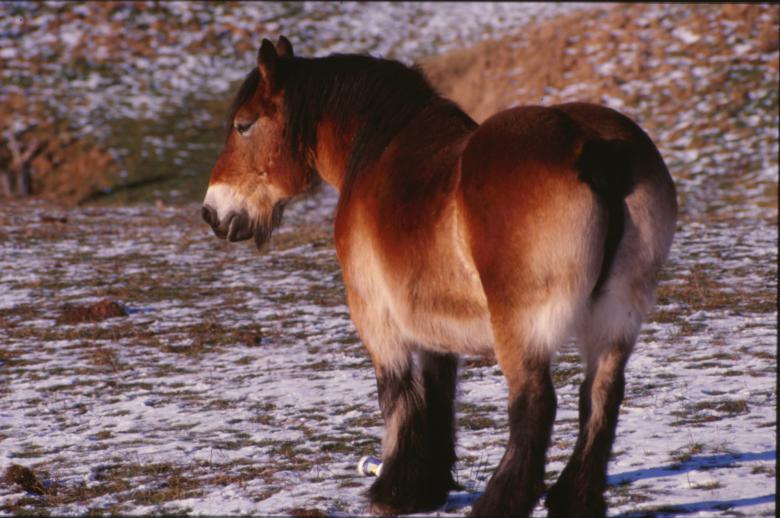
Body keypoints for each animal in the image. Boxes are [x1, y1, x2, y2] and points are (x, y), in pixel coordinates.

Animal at [201, 36, 677, 517]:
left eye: (243, 125)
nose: (212, 212)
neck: (377, 154)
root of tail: (594, 148)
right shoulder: (433, 325)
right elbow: (438, 394)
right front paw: (426, 487)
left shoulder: (376, 318)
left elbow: (397, 395)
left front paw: (393, 492)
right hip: (614, 319)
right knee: (601, 396)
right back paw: (573, 499)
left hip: (522, 327)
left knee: (535, 404)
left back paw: (499, 502)